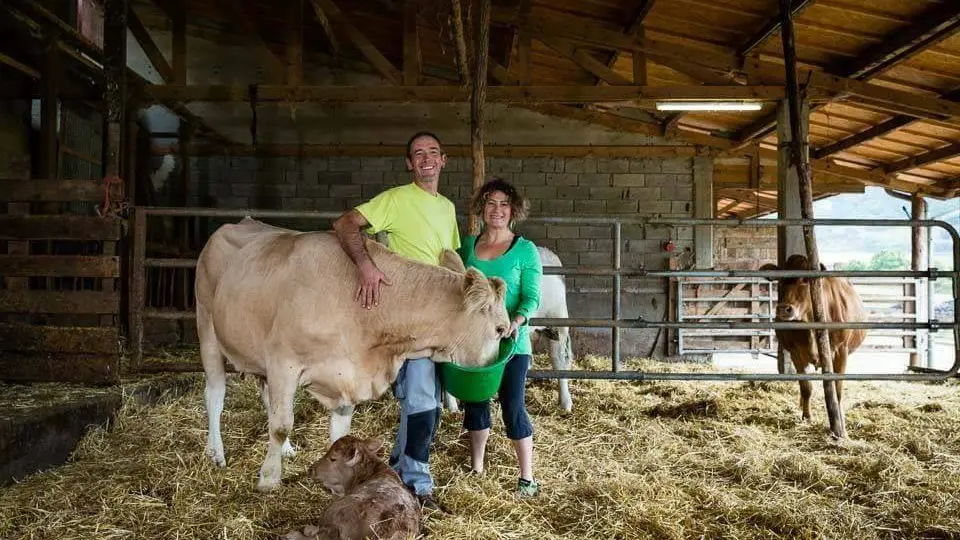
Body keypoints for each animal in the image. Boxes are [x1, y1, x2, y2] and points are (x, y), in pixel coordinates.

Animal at [193, 217, 510, 492]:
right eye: (500, 330)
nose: (494, 382)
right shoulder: (284, 362)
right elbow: (281, 424)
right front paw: (269, 479)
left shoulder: (345, 374)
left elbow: (338, 431)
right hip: (207, 327)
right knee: (216, 396)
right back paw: (216, 452)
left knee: (266, 399)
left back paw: (286, 451)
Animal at [760, 253, 868, 422]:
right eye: (781, 280)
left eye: (806, 280)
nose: (784, 309)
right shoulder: (795, 352)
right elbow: (806, 387)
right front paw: (807, 416)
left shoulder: (841, 351)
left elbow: (837, 389)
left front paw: (840, 418)